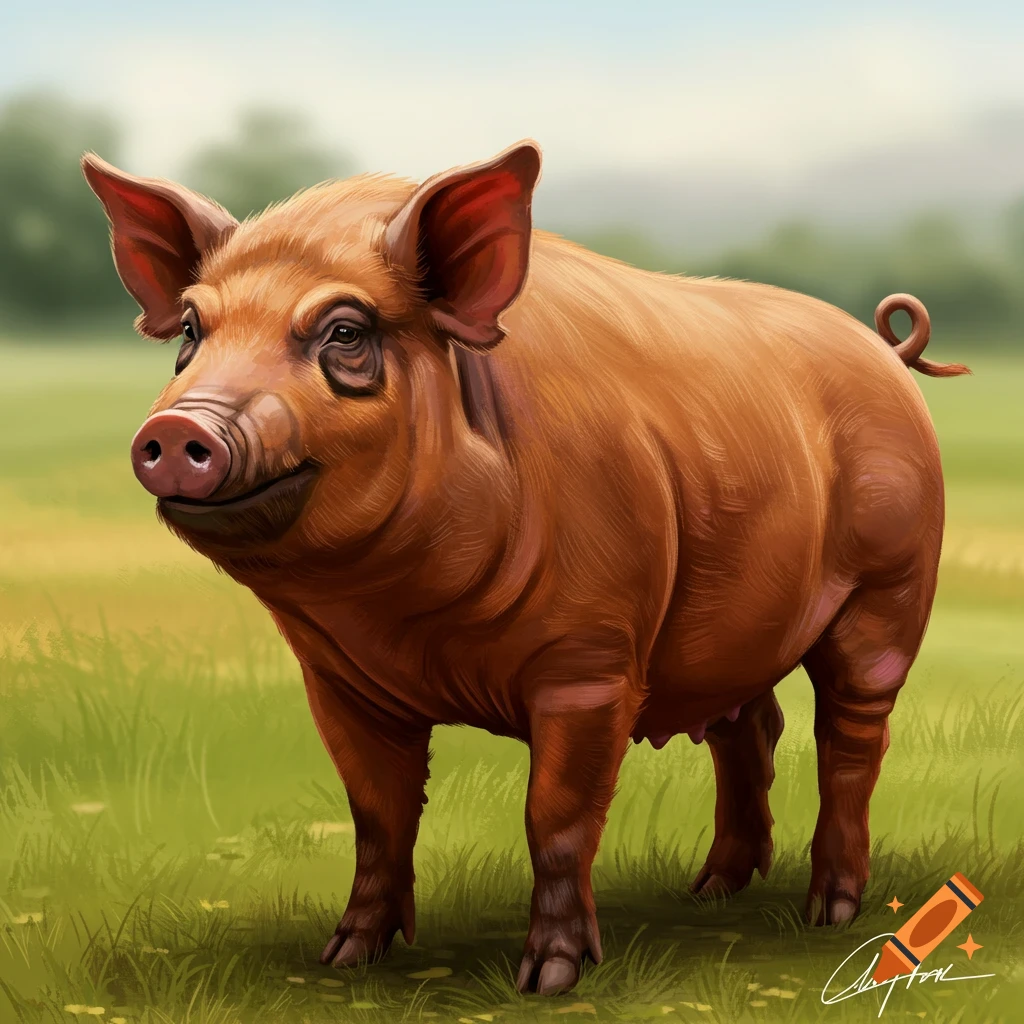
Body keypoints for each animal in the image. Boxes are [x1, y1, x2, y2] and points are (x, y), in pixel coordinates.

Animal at [82, 140, 969, 996]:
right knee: (751, 728)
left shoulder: (593, 665)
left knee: (850, 734)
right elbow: (378, 814)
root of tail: (883, 347)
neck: (405, 617)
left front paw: (549, 980)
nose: (176, 430)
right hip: (735, 624)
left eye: (345, 333)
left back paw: (830, 913)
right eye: (191, 332)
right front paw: (346, 960)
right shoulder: (339, 682)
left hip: (890, 586)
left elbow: (557, 819)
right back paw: (711, 893)